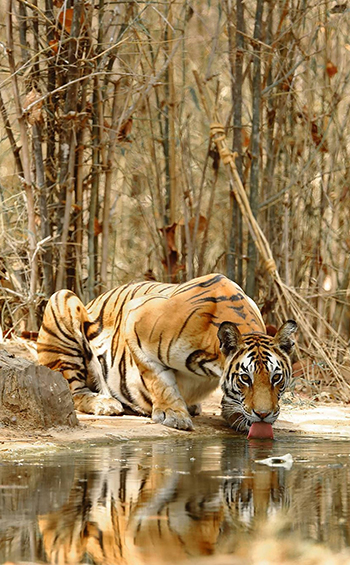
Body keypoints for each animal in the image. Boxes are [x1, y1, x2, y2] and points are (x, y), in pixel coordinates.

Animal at [37, 270, 296, 430]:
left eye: (276, 378)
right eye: (245, 378)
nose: (263, 415)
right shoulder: (135, 319)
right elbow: (159, 379)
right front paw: (173, 414)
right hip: (62, 300)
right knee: (72, 391)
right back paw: (104, 403)